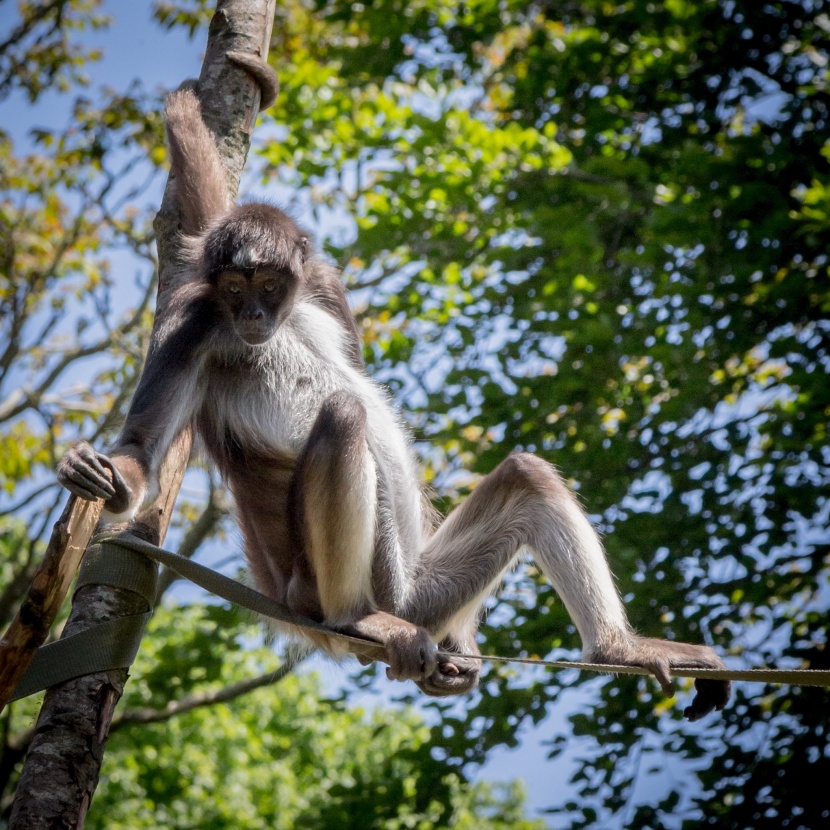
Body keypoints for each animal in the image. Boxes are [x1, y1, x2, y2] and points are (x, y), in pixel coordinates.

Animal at [58, 52, 732, 720]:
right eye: (233, 288)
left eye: (269, 285)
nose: (251, 315)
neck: (281, 321)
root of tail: (293, 604)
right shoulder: (194, 321)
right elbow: (142, 451)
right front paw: (109, 476)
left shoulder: (322, 284)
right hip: (356, 589)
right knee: (345, 416)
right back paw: (357, 619)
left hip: (423, 594)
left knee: (525, 475)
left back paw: (618, 647)